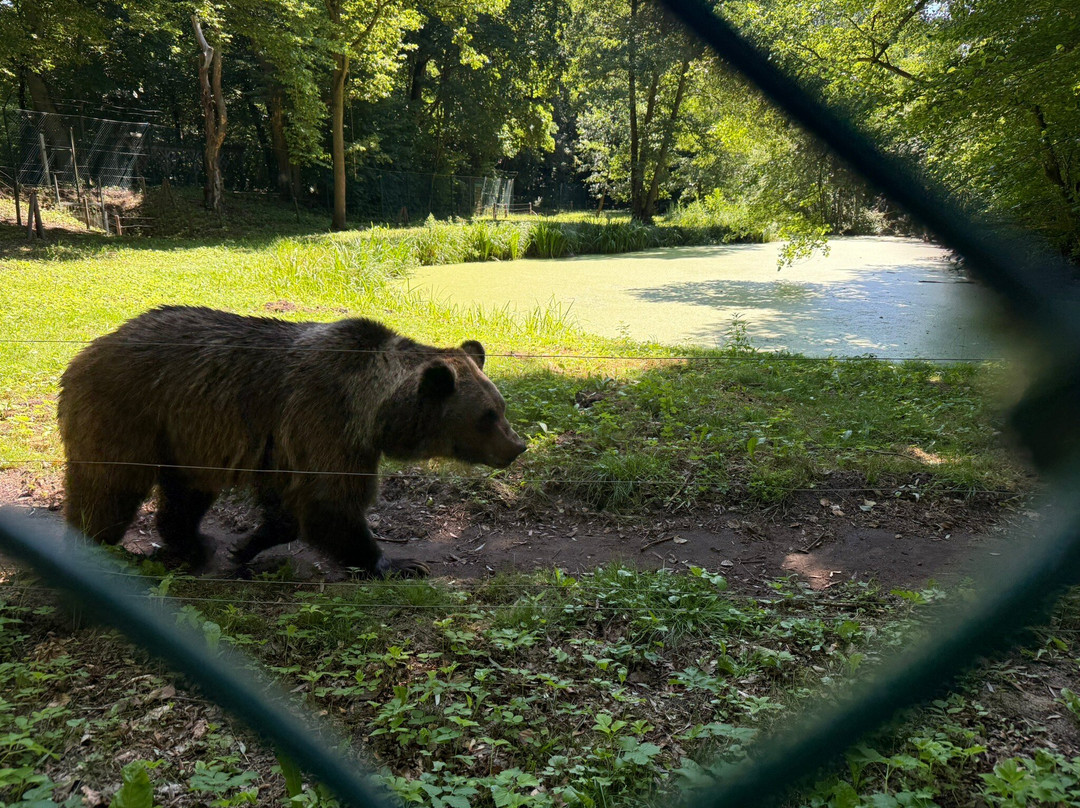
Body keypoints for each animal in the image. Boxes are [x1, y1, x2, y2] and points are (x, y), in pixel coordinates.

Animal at [57, 305, 527, 576]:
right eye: (487, 416)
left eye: (501, 406)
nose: (517, 446)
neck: (373, 410)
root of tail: (84, 353)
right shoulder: (325, 420)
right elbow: (329, 503)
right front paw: (396, 562)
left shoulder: (286, 443)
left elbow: (286, 506)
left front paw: (245, 546)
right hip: (127, 413)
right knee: (109, 488)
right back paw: (101, 547)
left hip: (183, 436)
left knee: (186, 493)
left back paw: (195, 544)